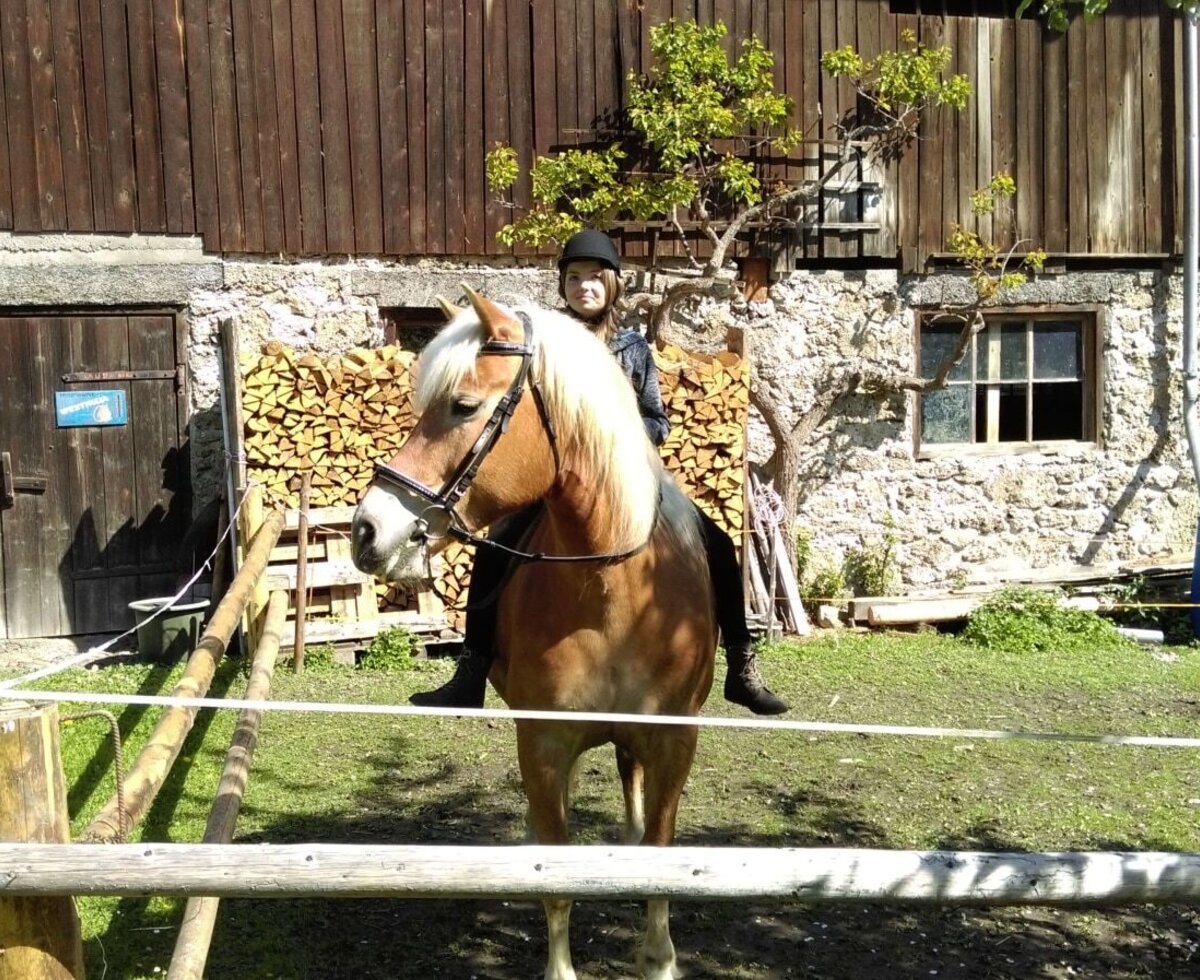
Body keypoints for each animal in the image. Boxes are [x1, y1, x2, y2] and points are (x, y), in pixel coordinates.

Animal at [351, 287, 717, 980]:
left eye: (463, 405)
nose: (367, 531)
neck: (612, 595)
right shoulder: (543, 745)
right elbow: (557, 876)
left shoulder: (672, 743)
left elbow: (662, 856)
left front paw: (657, 958)